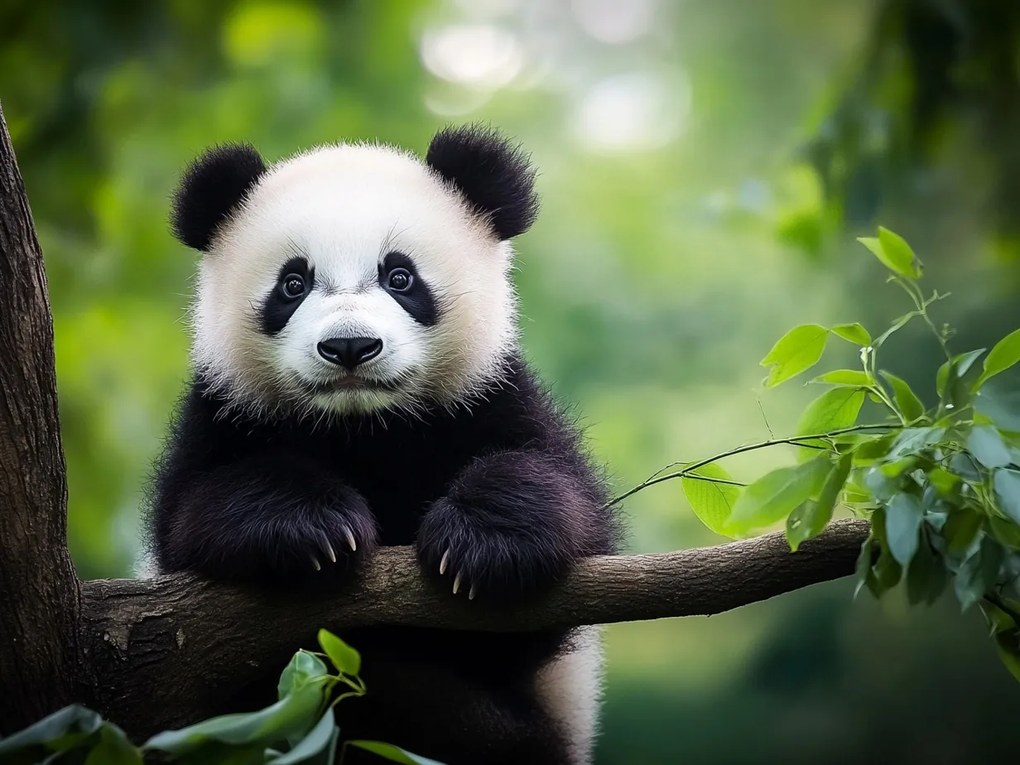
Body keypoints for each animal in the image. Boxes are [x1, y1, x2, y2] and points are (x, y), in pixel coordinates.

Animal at [148, 125, 621, 765]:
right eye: (293, 284)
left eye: (400, 277)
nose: (350, 346)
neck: (364, 427)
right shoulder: (224, 413)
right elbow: (194, 516)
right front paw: (315, 528)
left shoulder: (488, 396)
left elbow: (559, 497)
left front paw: (479, 542)